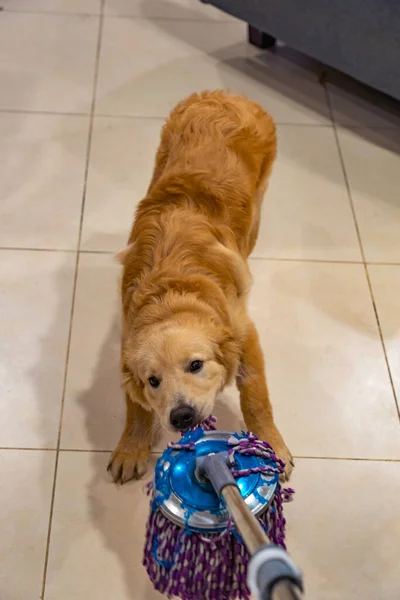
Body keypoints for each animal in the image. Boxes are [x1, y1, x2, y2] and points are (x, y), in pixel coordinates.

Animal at [109, 90, 294, 482]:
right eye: (153, 381)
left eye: (195, 365)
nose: (181, 416)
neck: (172, 293)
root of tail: (226, 95)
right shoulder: (126, 339)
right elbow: (135, 405)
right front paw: (131, 446)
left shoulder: (244, 333)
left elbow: (256, 394)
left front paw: (272, 444)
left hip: (258, 204)